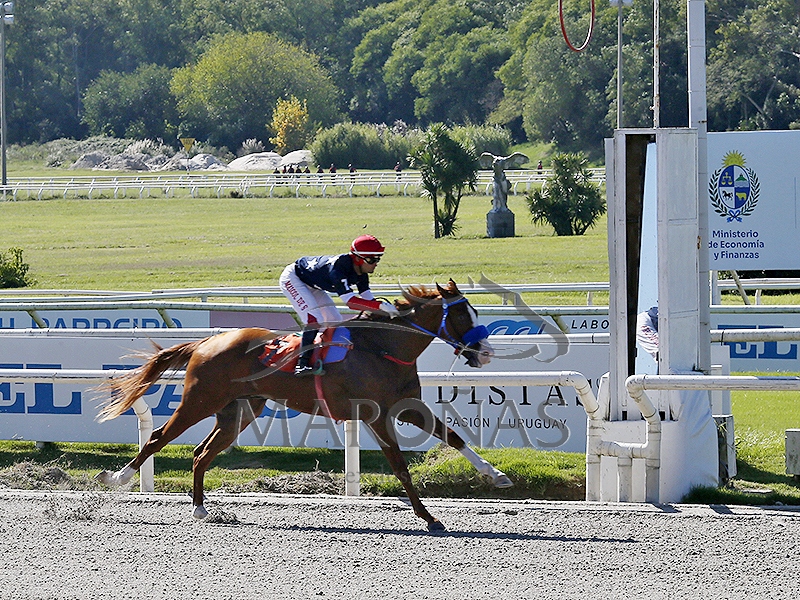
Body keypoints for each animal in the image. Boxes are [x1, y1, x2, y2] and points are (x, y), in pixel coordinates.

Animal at [95, 279, 512, 531]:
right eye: (461, 315)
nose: (486, 353)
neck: (384, 347)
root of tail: (205, 342)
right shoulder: (377, 415)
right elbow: (400, 467)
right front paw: (428, 517)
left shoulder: (407, 408)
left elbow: (455, 438)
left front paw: (496, 476)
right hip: (199, 401)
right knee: (157, 439)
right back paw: (118, 479)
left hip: (240, 410)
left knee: (200, 453)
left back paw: (200, 507)